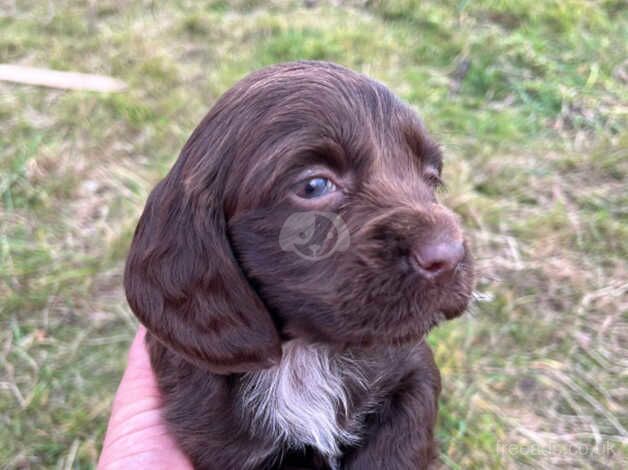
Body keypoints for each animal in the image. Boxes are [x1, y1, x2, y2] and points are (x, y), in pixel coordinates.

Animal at [125, 62, 474, 470]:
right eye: (314, 186)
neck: (305, 353)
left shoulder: (413, 367)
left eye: (432, 177)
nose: (449, 254)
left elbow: (401, 438)